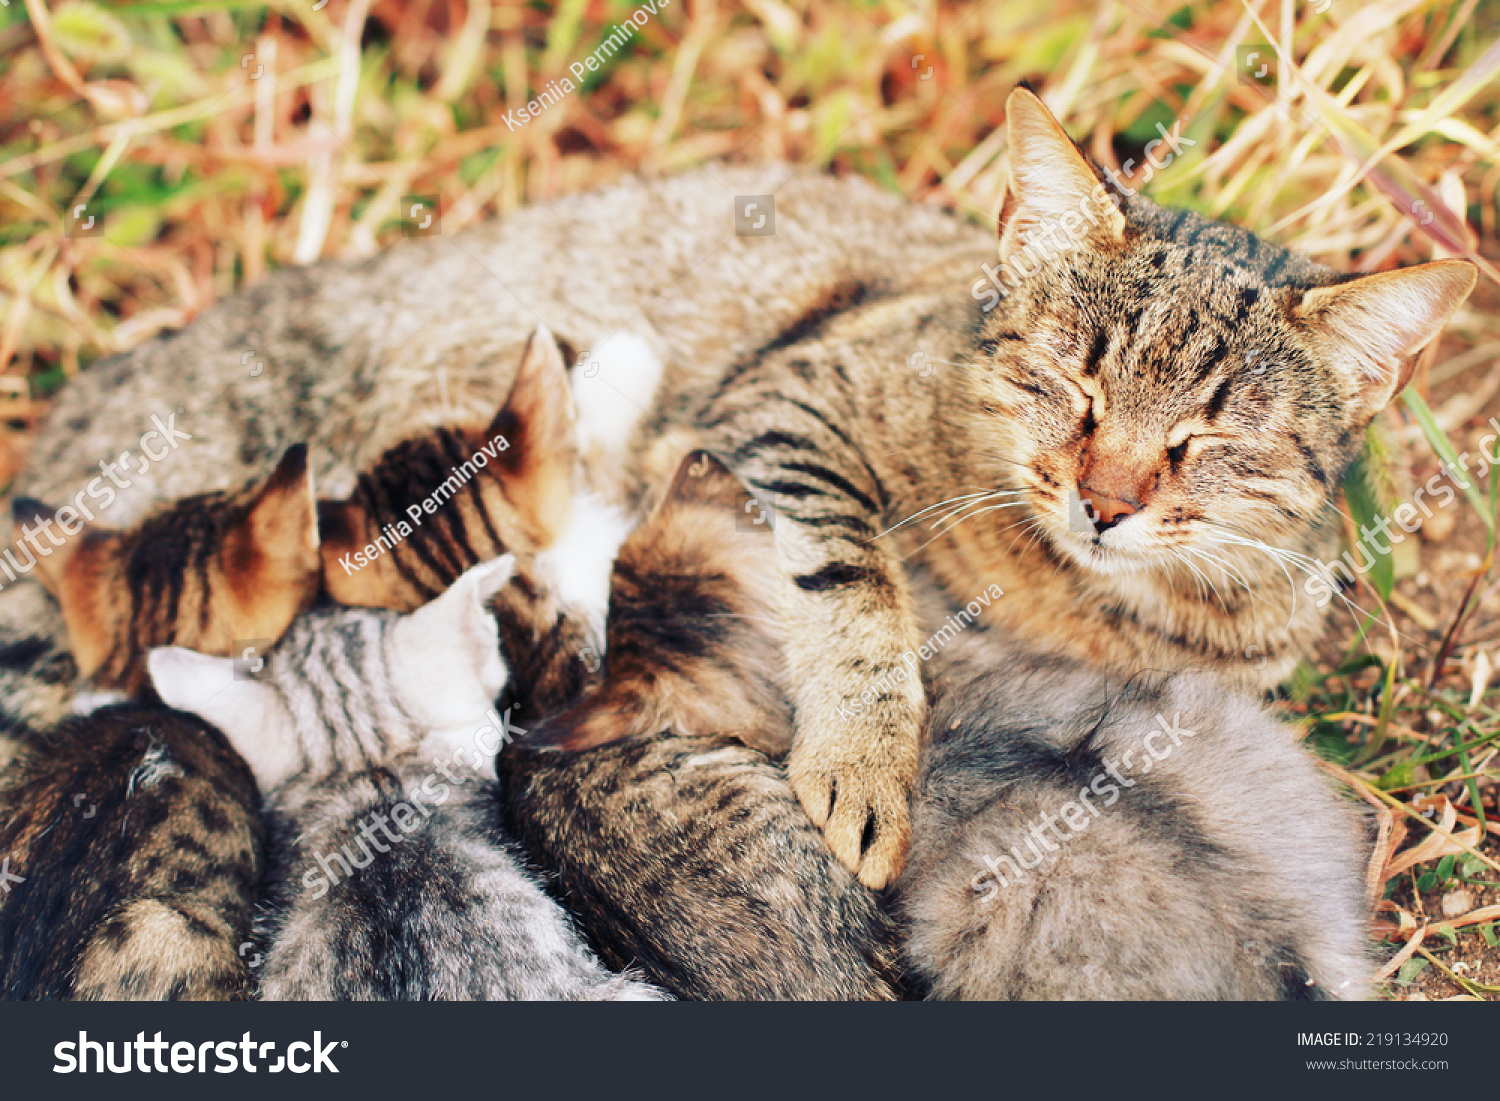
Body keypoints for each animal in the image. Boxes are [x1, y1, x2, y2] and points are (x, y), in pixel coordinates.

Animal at [5, 90, 1470, 894]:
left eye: (1207, 441)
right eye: (1070, 385)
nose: (1104, 499)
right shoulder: (786, 409)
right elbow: (854, 581)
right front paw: (863, 757)